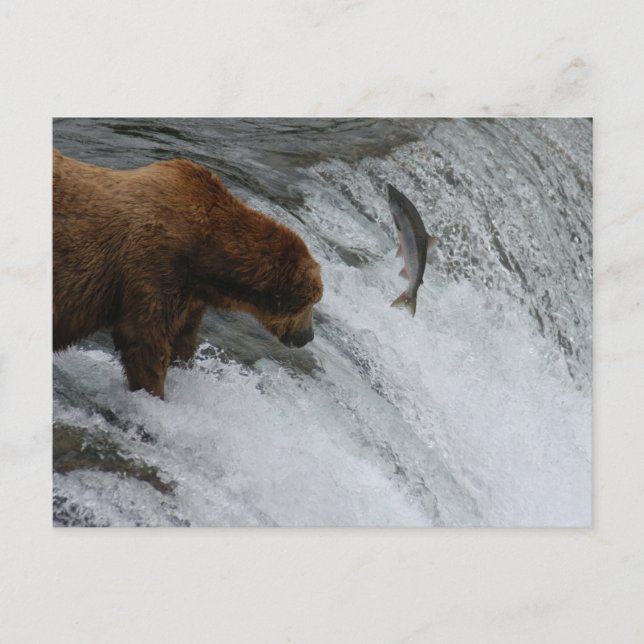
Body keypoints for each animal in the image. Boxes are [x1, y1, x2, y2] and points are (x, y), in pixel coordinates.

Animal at [53, 149, 323, 399]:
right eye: (310, 302)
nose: (308, 336)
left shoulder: (191, 294)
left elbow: (183, 339)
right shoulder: (155, 266)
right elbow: (143, 340)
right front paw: (153, 394)